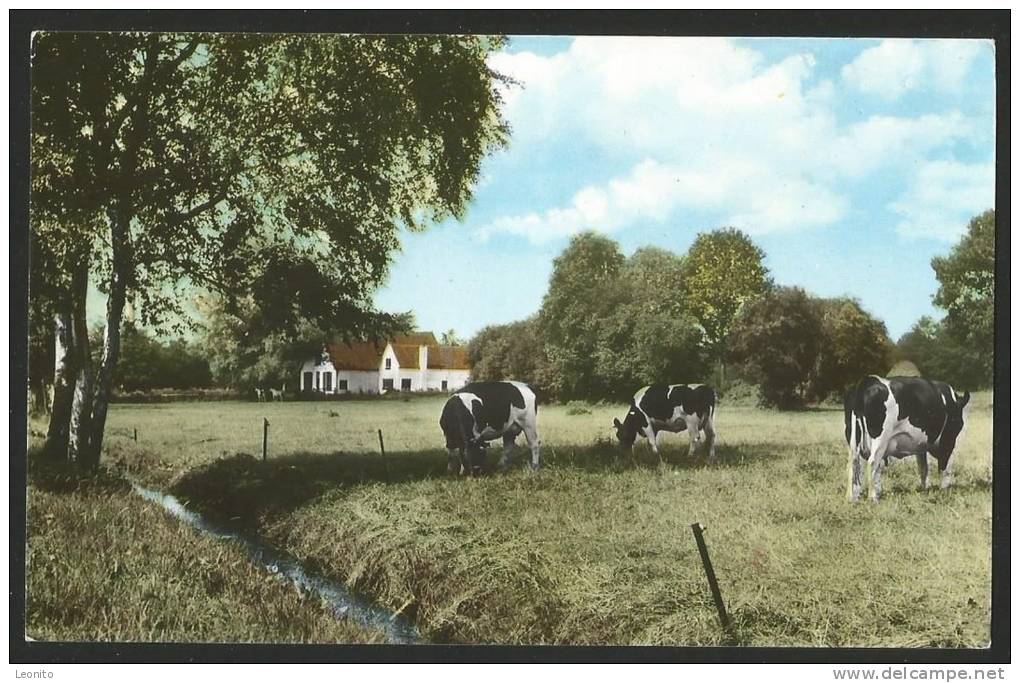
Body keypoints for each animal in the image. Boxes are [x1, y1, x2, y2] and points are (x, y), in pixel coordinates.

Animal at [844, 375, 971, 503]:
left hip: (852, 436)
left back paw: (852, 497)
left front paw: (926, 489)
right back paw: (873, 498)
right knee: (872, 462)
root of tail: (868, 381)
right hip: (880, 439)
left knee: (853, 463)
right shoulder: (948, 439)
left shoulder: (921, 444)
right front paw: (945, 489)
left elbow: (923, 466)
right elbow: (945, 466)